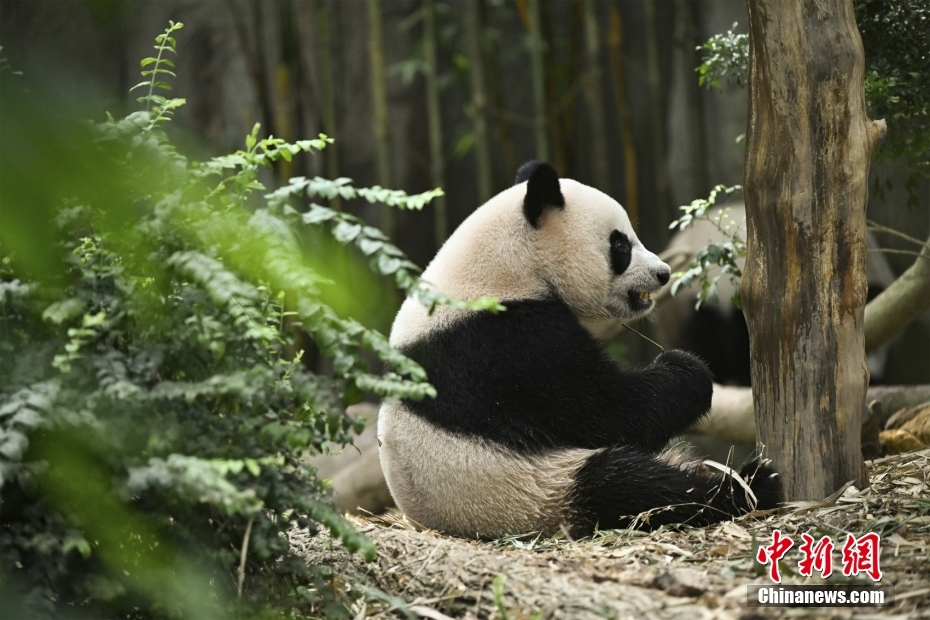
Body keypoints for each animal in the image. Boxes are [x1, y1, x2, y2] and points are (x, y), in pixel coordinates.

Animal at [377, 161, 781, 539]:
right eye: (620, 245)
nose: (664, 273)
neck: (503, 267)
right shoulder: (501, 346)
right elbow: (607, 411)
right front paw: (686, 369)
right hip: (535, 491)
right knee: (629, 486)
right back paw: (748, 486)